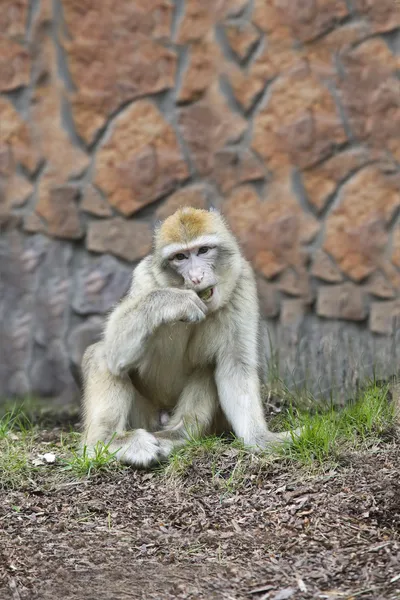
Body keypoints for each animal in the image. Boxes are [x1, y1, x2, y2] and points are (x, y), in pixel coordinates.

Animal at [81, 207, 296, 468]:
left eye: (203, 250)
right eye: (180, 257)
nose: (195, 277)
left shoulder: (242, 282)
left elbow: (235, 367)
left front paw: (262, 439)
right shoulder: (145, 278)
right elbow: (115, 354)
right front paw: (174, 301)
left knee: (208, 366)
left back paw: (178, 434)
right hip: (145, 416)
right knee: (102, 355)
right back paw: (107, 443)